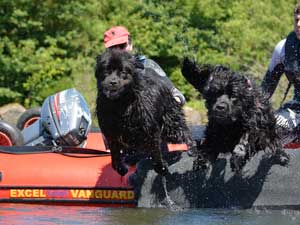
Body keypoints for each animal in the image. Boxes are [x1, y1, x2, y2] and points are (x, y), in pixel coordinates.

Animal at [95, 48, 192, 176]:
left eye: (123, 71)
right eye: (106, 71)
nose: (113, 82)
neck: (121, 104)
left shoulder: (149, 127)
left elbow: (155, 150)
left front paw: (161, 167)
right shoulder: (110, 130)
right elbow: (115, 153)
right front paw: (120, 167)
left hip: (172, 127)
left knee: (185, 135)